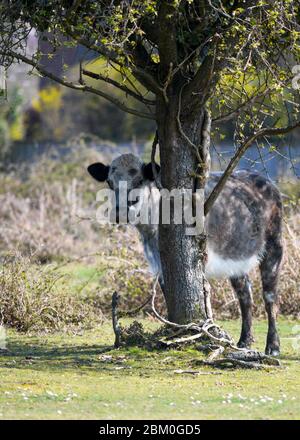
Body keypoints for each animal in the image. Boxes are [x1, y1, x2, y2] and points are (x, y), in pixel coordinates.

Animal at [87, 153, 284, 356]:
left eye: (139, 180)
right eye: (109, 182)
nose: (120, 212)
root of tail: (262, 179)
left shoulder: (199, 257)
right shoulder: (160, 265)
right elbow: (169, 297)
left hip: (274, 244)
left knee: (270, 296)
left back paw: (273, 346)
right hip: (236, 256)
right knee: (245, 296)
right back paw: (244, 341)